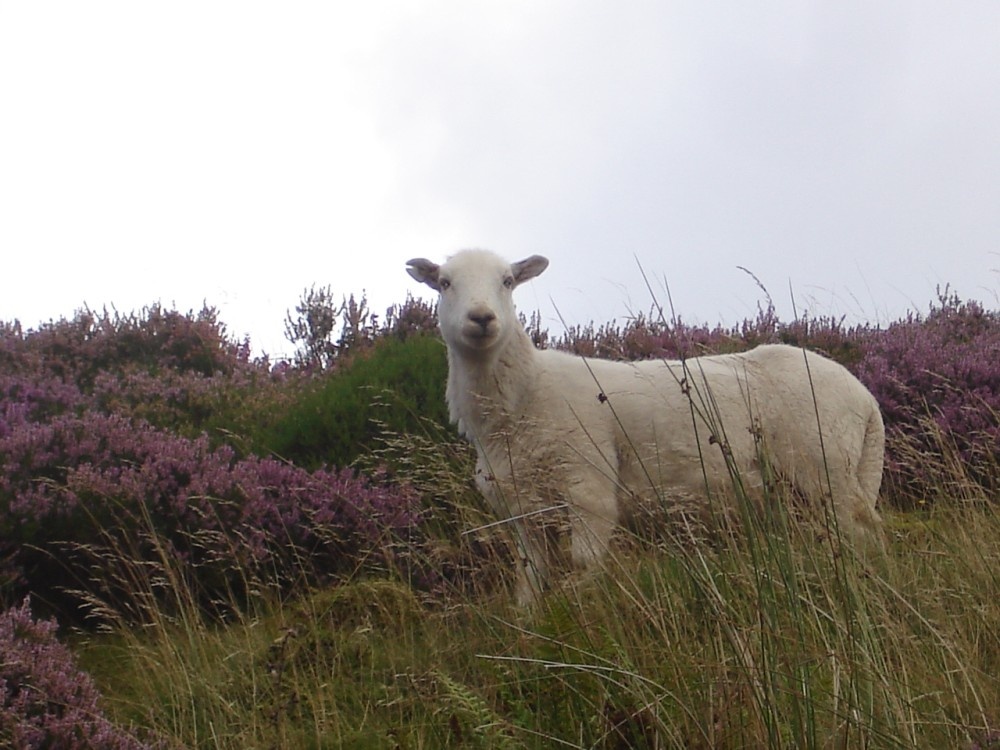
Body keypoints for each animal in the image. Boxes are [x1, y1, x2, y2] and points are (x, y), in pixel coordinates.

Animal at [406, 251, 884, 604]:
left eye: (507, 281)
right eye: (444, 283)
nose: (482, 318)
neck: (522, 396)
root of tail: (866, 398)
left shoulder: (590, 491)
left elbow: (583, 566)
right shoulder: (521, 509)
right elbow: (531, 580)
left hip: (826, 470)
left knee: (860, 536)